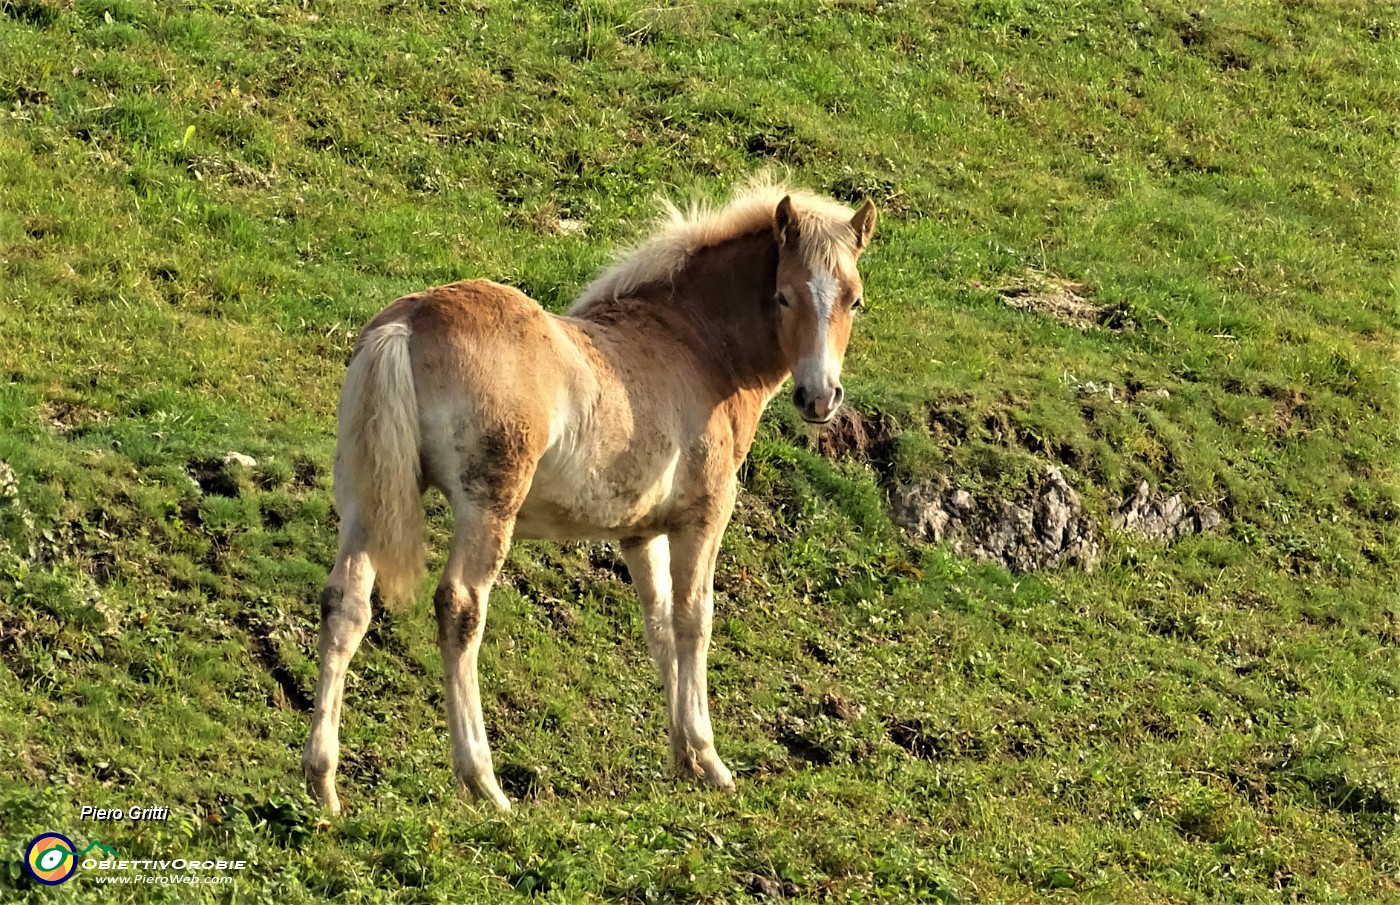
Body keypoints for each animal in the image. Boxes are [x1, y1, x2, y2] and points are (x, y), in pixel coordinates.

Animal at [303, 184, 873, 818]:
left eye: (853, 300)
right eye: (782, 295)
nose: (820, 398)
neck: (696, 344)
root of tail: (406, 322)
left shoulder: (640, 533)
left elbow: (659, 624)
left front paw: (684, 758)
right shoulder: (703, 519)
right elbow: (694, 619)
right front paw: (710, 760)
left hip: (364, 502)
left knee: (346, 604)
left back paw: (322, 782)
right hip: (487, 508)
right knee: (460, 608)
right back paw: (484, 782)